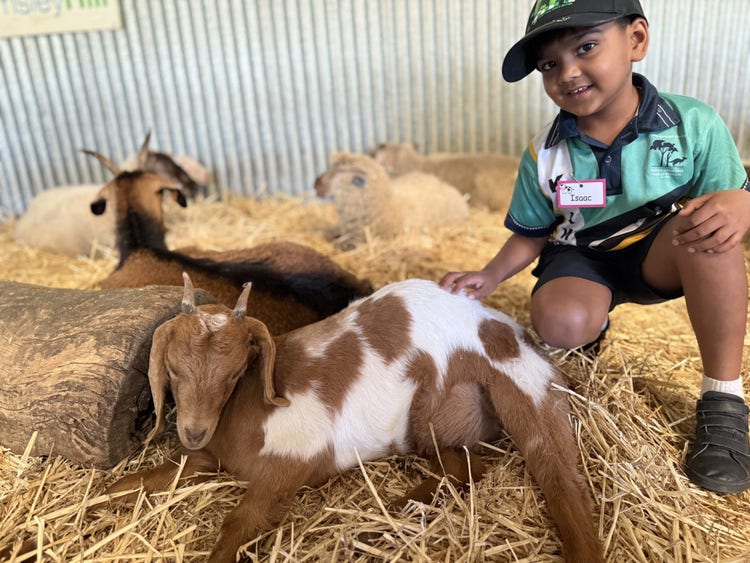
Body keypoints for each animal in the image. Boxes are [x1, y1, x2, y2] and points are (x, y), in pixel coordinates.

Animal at [106, 273, 603, 563]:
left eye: (234, 372)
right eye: (172, 369)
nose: (192, 430)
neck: (250, 408)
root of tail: (508, 330)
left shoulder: (293, 461)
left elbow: (238, 524)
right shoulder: (209, 456)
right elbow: (150, 479)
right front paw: (108, 495)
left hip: (487, 393)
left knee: (523, 468)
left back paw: (395, 515)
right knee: (463, 462)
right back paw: (399, 512)